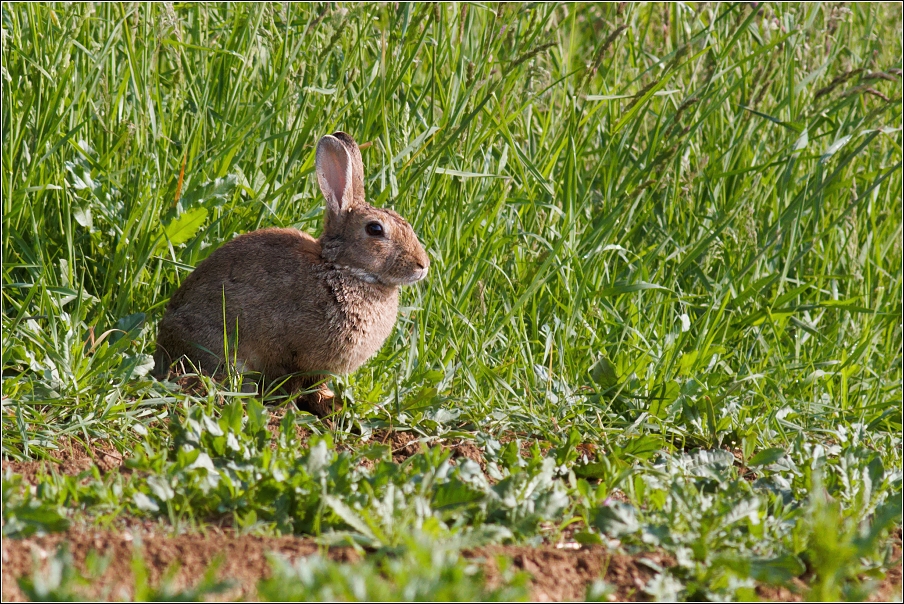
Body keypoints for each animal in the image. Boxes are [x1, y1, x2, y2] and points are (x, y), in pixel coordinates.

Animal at [153, 132, 430, 416]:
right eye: (375, 229)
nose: (423, 265)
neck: (340, 269)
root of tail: (162, 345)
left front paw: (331, 405)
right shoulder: (293, 356)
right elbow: (292, 384)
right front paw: (293, 410)